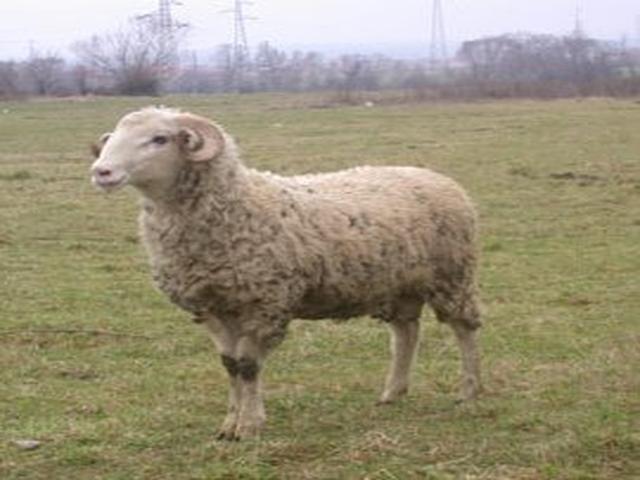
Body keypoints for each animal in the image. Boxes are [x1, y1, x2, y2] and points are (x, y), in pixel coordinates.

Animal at [90, 107, 482, 440]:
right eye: (112, 138)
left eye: (160, 139)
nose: (101, 172)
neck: (237, 206)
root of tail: (436, 176)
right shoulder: (212, 308)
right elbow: (229, 365)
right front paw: (229, 425)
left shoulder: (264, 304)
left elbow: (248, 366)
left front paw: (249, 425)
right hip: (401, 284)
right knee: (406, 333)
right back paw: (393, 393)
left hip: (453, 275)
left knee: (464, 329)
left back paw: (469, 390)